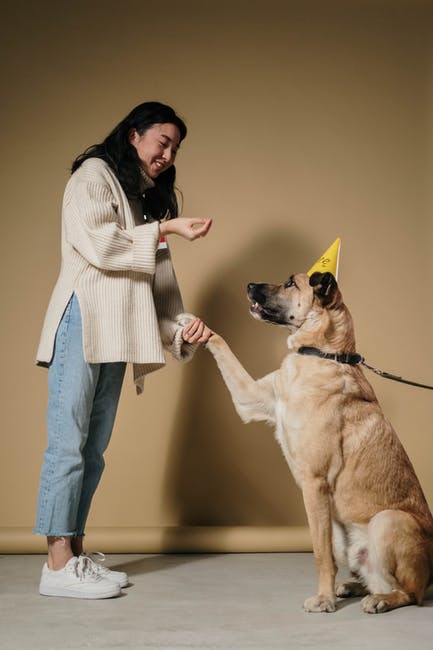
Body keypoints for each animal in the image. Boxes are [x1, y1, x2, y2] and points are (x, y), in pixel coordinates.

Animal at [205, 270, 432, 612]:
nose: (249, 285)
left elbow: (320, 554)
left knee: (410, 593)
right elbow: (223, 347)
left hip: (387, 520)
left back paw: (380, 600)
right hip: (345, 533)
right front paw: (192, 326)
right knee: (375, 579)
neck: (322, 354)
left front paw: (323, 600)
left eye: (290, 283)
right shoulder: (250, 398)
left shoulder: (314, 484)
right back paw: (352, 587)